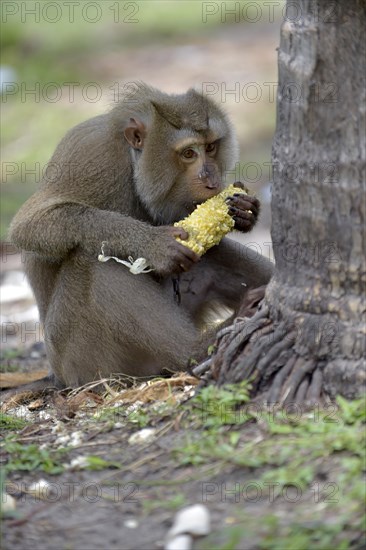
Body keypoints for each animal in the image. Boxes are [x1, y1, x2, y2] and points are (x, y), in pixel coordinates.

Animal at [7, 83, 274, 392]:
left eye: (210, 147)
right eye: (188, 154)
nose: (212, 181)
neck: (133, 165)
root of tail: (56, 376)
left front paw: (244, 211)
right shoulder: (91, 156)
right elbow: (30, 224)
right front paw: (153, 244)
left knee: (214, 252)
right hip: (82, 360)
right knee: (95, 262)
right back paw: (196, 350)